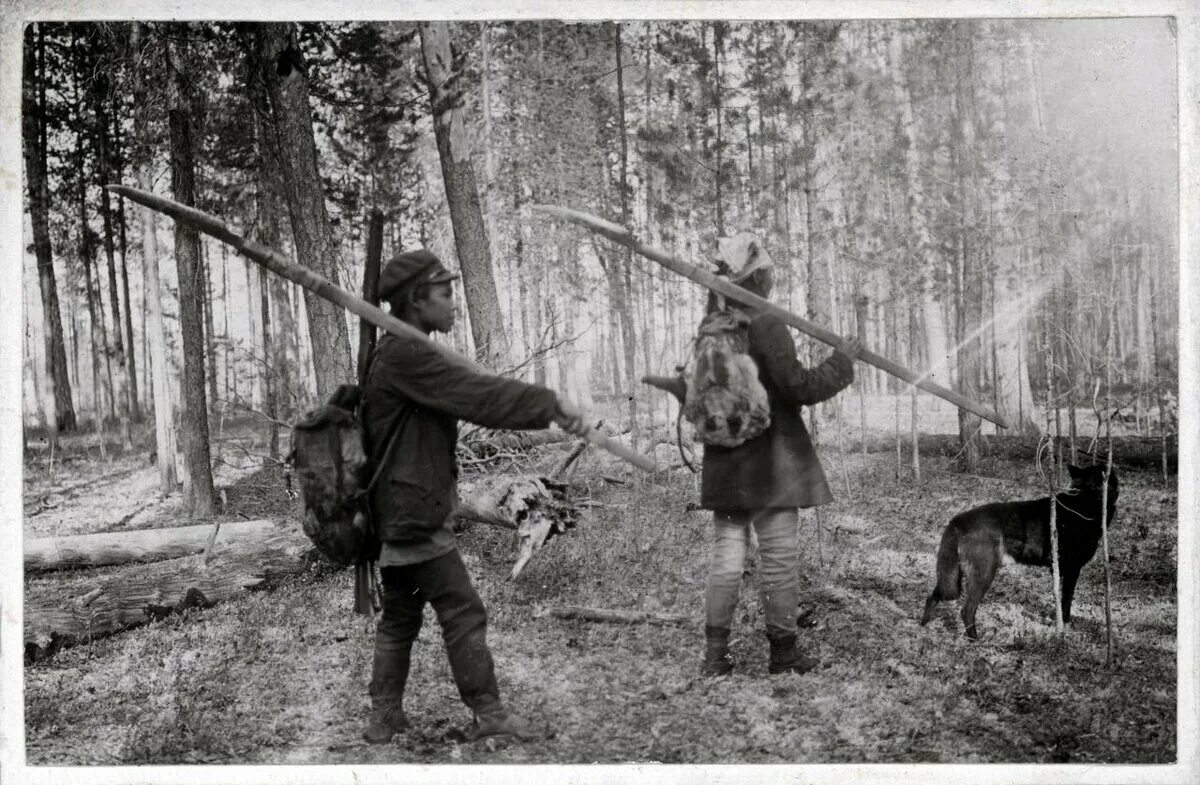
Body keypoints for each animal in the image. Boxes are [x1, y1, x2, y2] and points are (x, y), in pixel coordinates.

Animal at [921, 468, 1118, 638]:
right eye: (1086, 484)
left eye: (1099, 482)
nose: (1101, 496)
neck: (1081, 510)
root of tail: (958, 520)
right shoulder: (1071, 570)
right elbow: (1066, 602)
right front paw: (1064, 627)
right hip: (983, 575)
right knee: (966, 610)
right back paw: (975, 639)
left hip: (955, 575)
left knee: (932, 597)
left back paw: (924, 625)